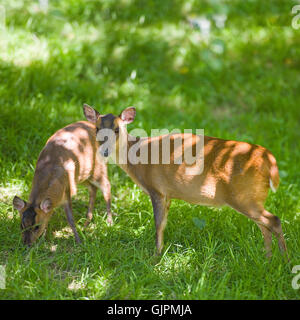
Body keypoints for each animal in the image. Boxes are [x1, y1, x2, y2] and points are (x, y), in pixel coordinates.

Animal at [82, 104, 288, 258]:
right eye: (97, 129)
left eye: (117, 129)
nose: (104, 152)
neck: (139, 157)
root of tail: (268, 160)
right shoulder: (168, 194)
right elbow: (164, 222)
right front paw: (160, 251)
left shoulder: (156, 188)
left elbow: (158, 223)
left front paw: (156, 255)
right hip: (252, 197)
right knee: (265, 225)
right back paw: (268, 257)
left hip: (243, 195)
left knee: (274, 220)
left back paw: (284, 260)